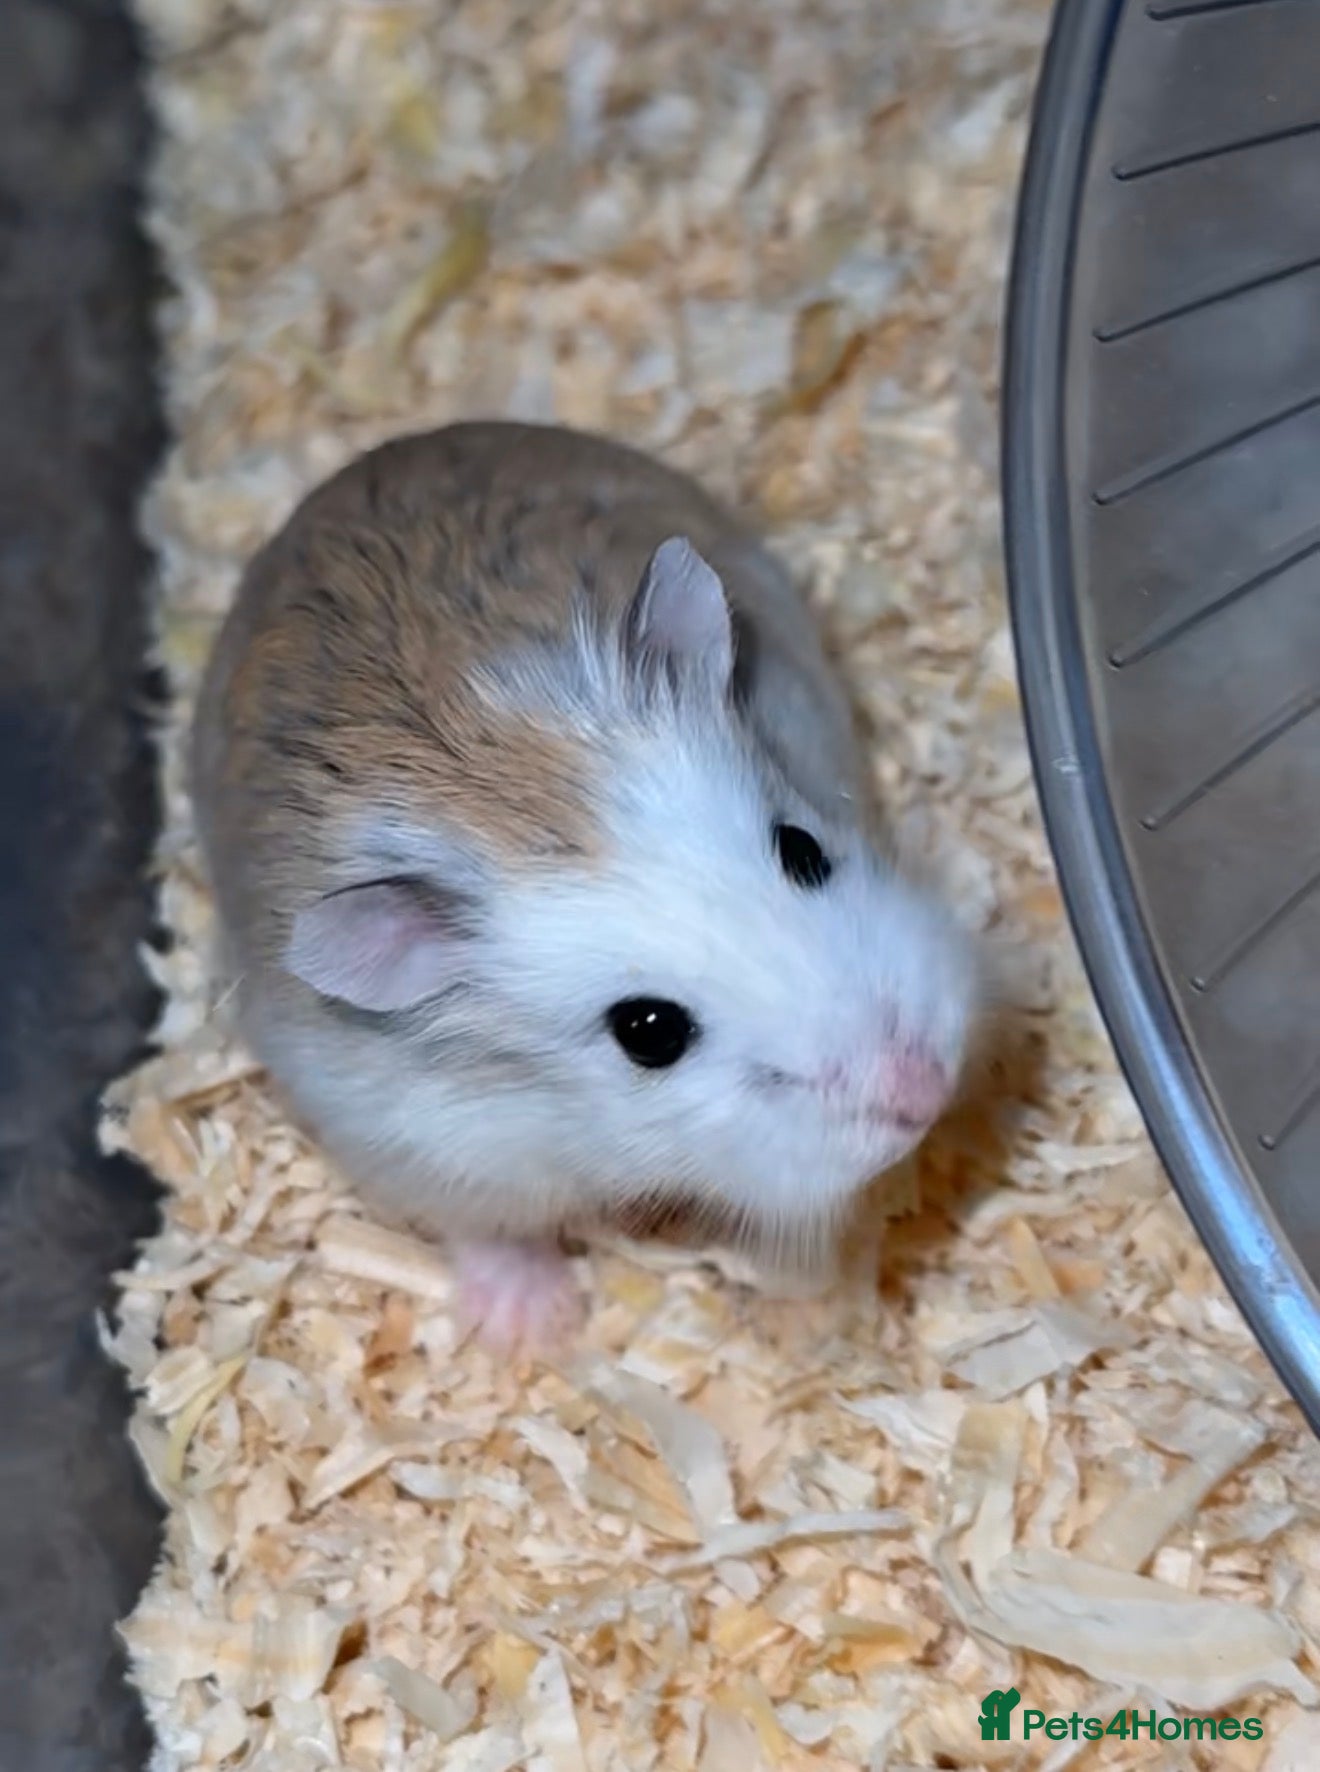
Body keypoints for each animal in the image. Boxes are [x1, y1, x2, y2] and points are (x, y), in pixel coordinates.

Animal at [192, 422, 978, 1349]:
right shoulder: (427, 1147)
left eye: (804, 850)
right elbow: (486, 1233)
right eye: (648, 1032)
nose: (923, 1091)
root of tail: (385, 452)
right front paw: (539, 1328)